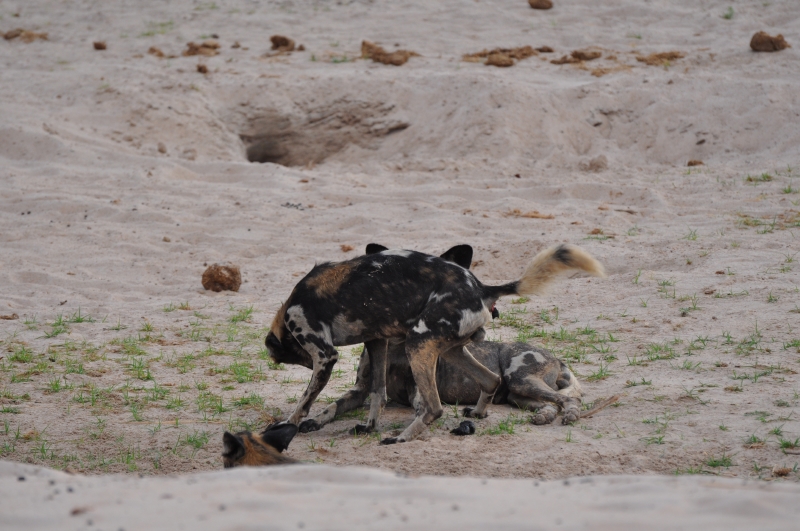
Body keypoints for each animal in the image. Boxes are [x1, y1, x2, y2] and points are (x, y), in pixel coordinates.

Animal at [265, 242, 604, 444]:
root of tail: (482, 287)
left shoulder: (325, 356)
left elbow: (303, 403)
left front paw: (287, 425)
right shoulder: (376, 343)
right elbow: (376, 395)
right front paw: (369, 426)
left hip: (420, 346)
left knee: (434, 408)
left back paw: (400, 438)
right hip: (456, 353)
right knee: (490, 381)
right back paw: (477, 414)